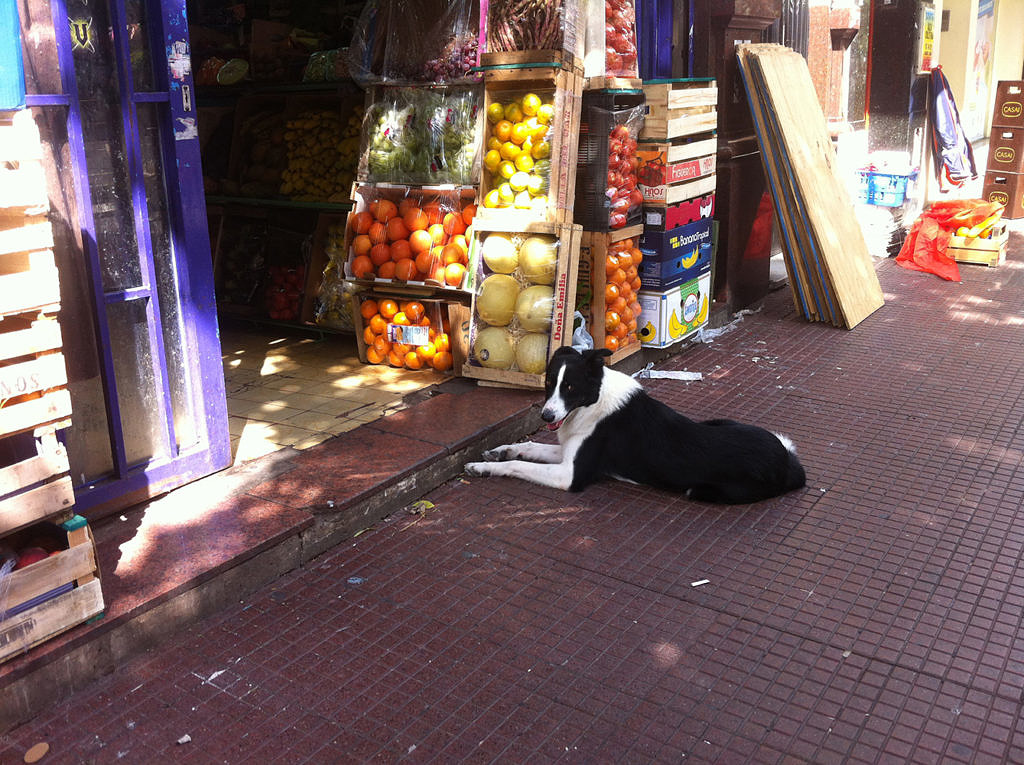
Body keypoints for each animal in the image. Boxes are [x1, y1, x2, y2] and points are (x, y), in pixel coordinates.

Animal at [465, 346, 806, 503]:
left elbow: (520, 466)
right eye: (550, 383)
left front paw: (486, 468)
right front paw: (497, 452)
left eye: (571, 387)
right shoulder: (568, 452)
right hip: (718, 422)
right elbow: (529, 446)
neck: (594, 402)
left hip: (702, 490)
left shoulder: (569, 475)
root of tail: (788, 462)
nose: (546, 416)